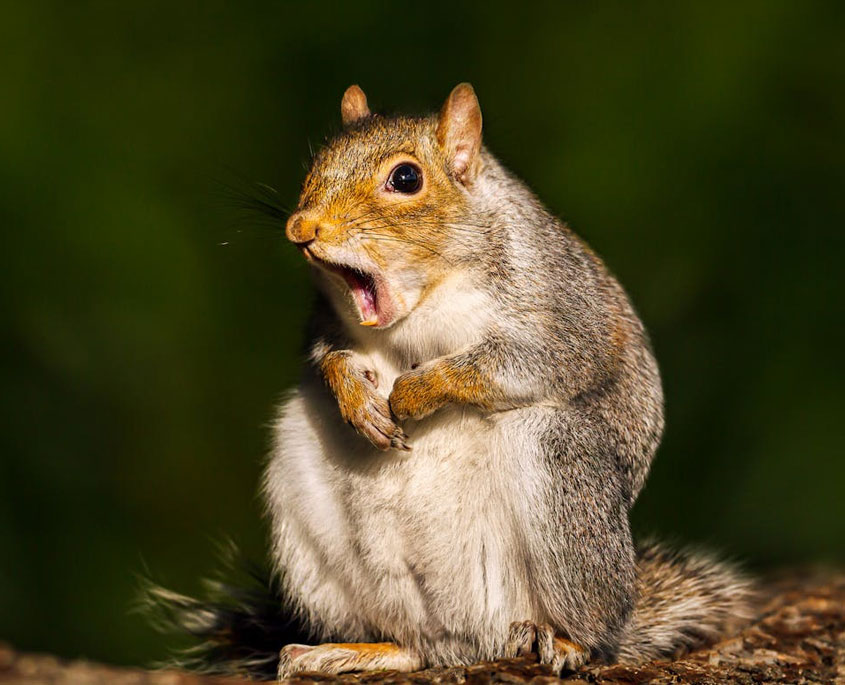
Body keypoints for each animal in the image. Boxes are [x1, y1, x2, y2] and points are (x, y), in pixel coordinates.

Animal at [145, 83, 752, 680]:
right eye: (316, 162)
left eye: (406, 179)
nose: (301, 227)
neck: (422, 301)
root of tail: (472, 639)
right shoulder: (324, 321)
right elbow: (327, 356)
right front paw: (357, 398)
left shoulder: (563, 316)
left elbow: (517, 363)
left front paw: (414, 393)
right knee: (415, 645)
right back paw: (351, 651)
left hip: (561, 472)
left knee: (592, 628)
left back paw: (567, 641)